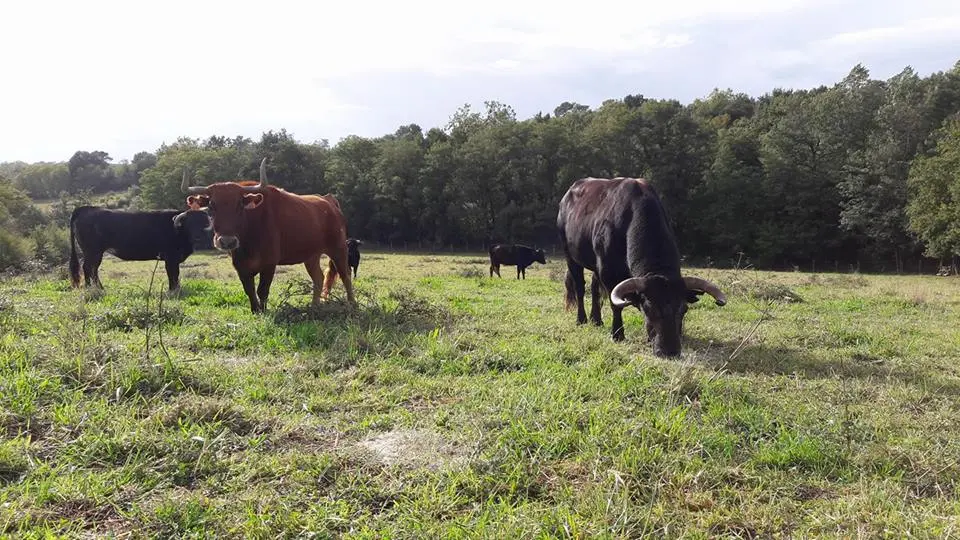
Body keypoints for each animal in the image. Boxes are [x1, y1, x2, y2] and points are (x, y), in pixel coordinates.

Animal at [68, 205, 212, 294]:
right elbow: (173, 274)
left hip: (95, 253)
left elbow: (175, 274)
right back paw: (90, 288)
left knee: (94, 269)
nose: (198, 237)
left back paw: (100, 288)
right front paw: (173, 290)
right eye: (189, 223)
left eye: (202, 222)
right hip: (92, 251)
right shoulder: (171, 258)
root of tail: (86, 209)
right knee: (88, 268)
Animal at [181, 157, 356, 312]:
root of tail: (329, 201)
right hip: (311, 255)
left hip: (339, 248)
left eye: (239, 205)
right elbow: (249, 290)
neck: (249, 237)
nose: (227, 241)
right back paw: (314, 306)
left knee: (345, 275)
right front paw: (255, 311)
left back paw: (352, 305)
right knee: (318, 278)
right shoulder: (240, 266)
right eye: (211, 206)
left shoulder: (269, 263)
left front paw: (264, 312)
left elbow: (262, 290)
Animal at [556, 175, 728, 356]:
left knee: (594, 288)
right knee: (580, 288)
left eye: (683, 310)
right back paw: (581, 319)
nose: (669, 351)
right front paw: (617, 334)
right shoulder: (608, 272)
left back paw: (596, 320)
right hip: (571, 258)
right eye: (649, 309)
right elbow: (615, 305)